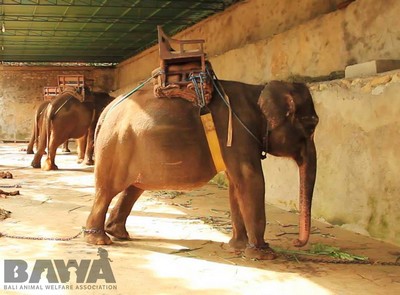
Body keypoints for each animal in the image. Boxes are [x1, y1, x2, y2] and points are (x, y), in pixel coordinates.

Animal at [84, 78, 318, 262]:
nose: (296, 242)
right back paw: (99, 240)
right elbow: (250, 180)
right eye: (312, 126)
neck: (258, 90)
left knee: (134, 187)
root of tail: (108, 110)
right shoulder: (239, 134)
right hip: (116, 147)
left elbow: (235, 185)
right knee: (107, 191)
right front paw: (264, 254)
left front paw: (237, 247)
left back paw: (118, 233)